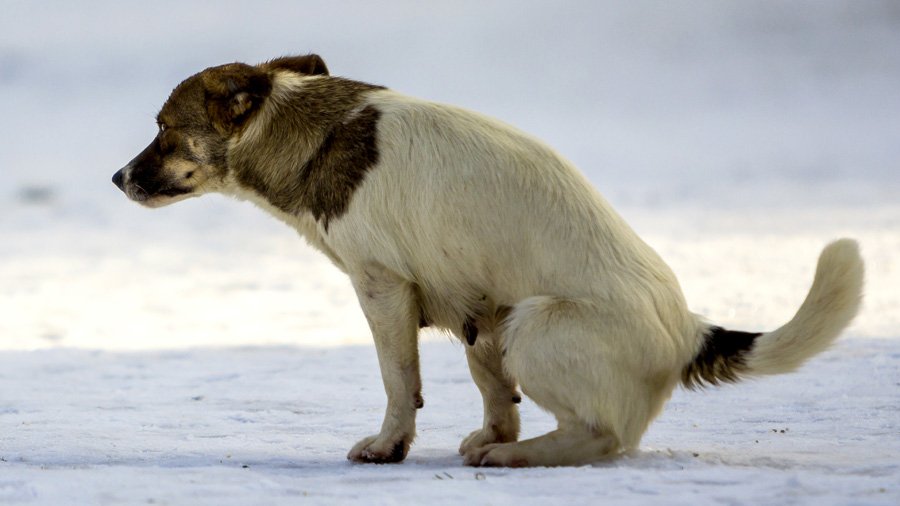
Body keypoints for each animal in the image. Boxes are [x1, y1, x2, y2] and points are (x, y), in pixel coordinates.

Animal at [112, 54, 864, 466]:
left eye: (164, 130)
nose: (117, 179)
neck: (313, 130)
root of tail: (688, 331)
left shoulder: (382, 288)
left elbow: (398, 383)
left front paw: (388, 447)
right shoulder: (464, 309)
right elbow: (490, 394)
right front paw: (473, 432)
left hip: (533, 325)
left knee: (604, 438)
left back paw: (515, 457)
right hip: (500, 321)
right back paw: (500, 444)